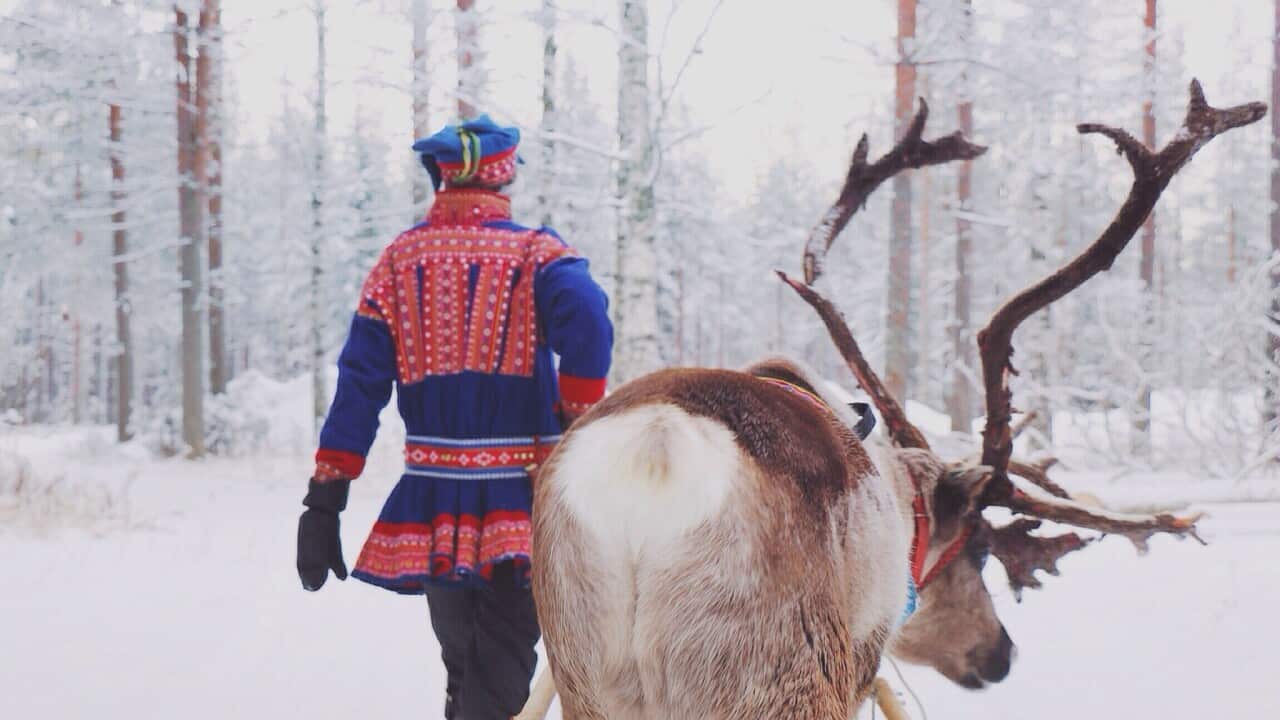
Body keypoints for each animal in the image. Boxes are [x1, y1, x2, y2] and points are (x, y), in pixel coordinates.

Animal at [528, 80, 1264, 720]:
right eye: (977, 551)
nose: (1002, 654)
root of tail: (654, 454)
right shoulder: (859, 663)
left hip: (586, 674)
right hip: (772, 668)